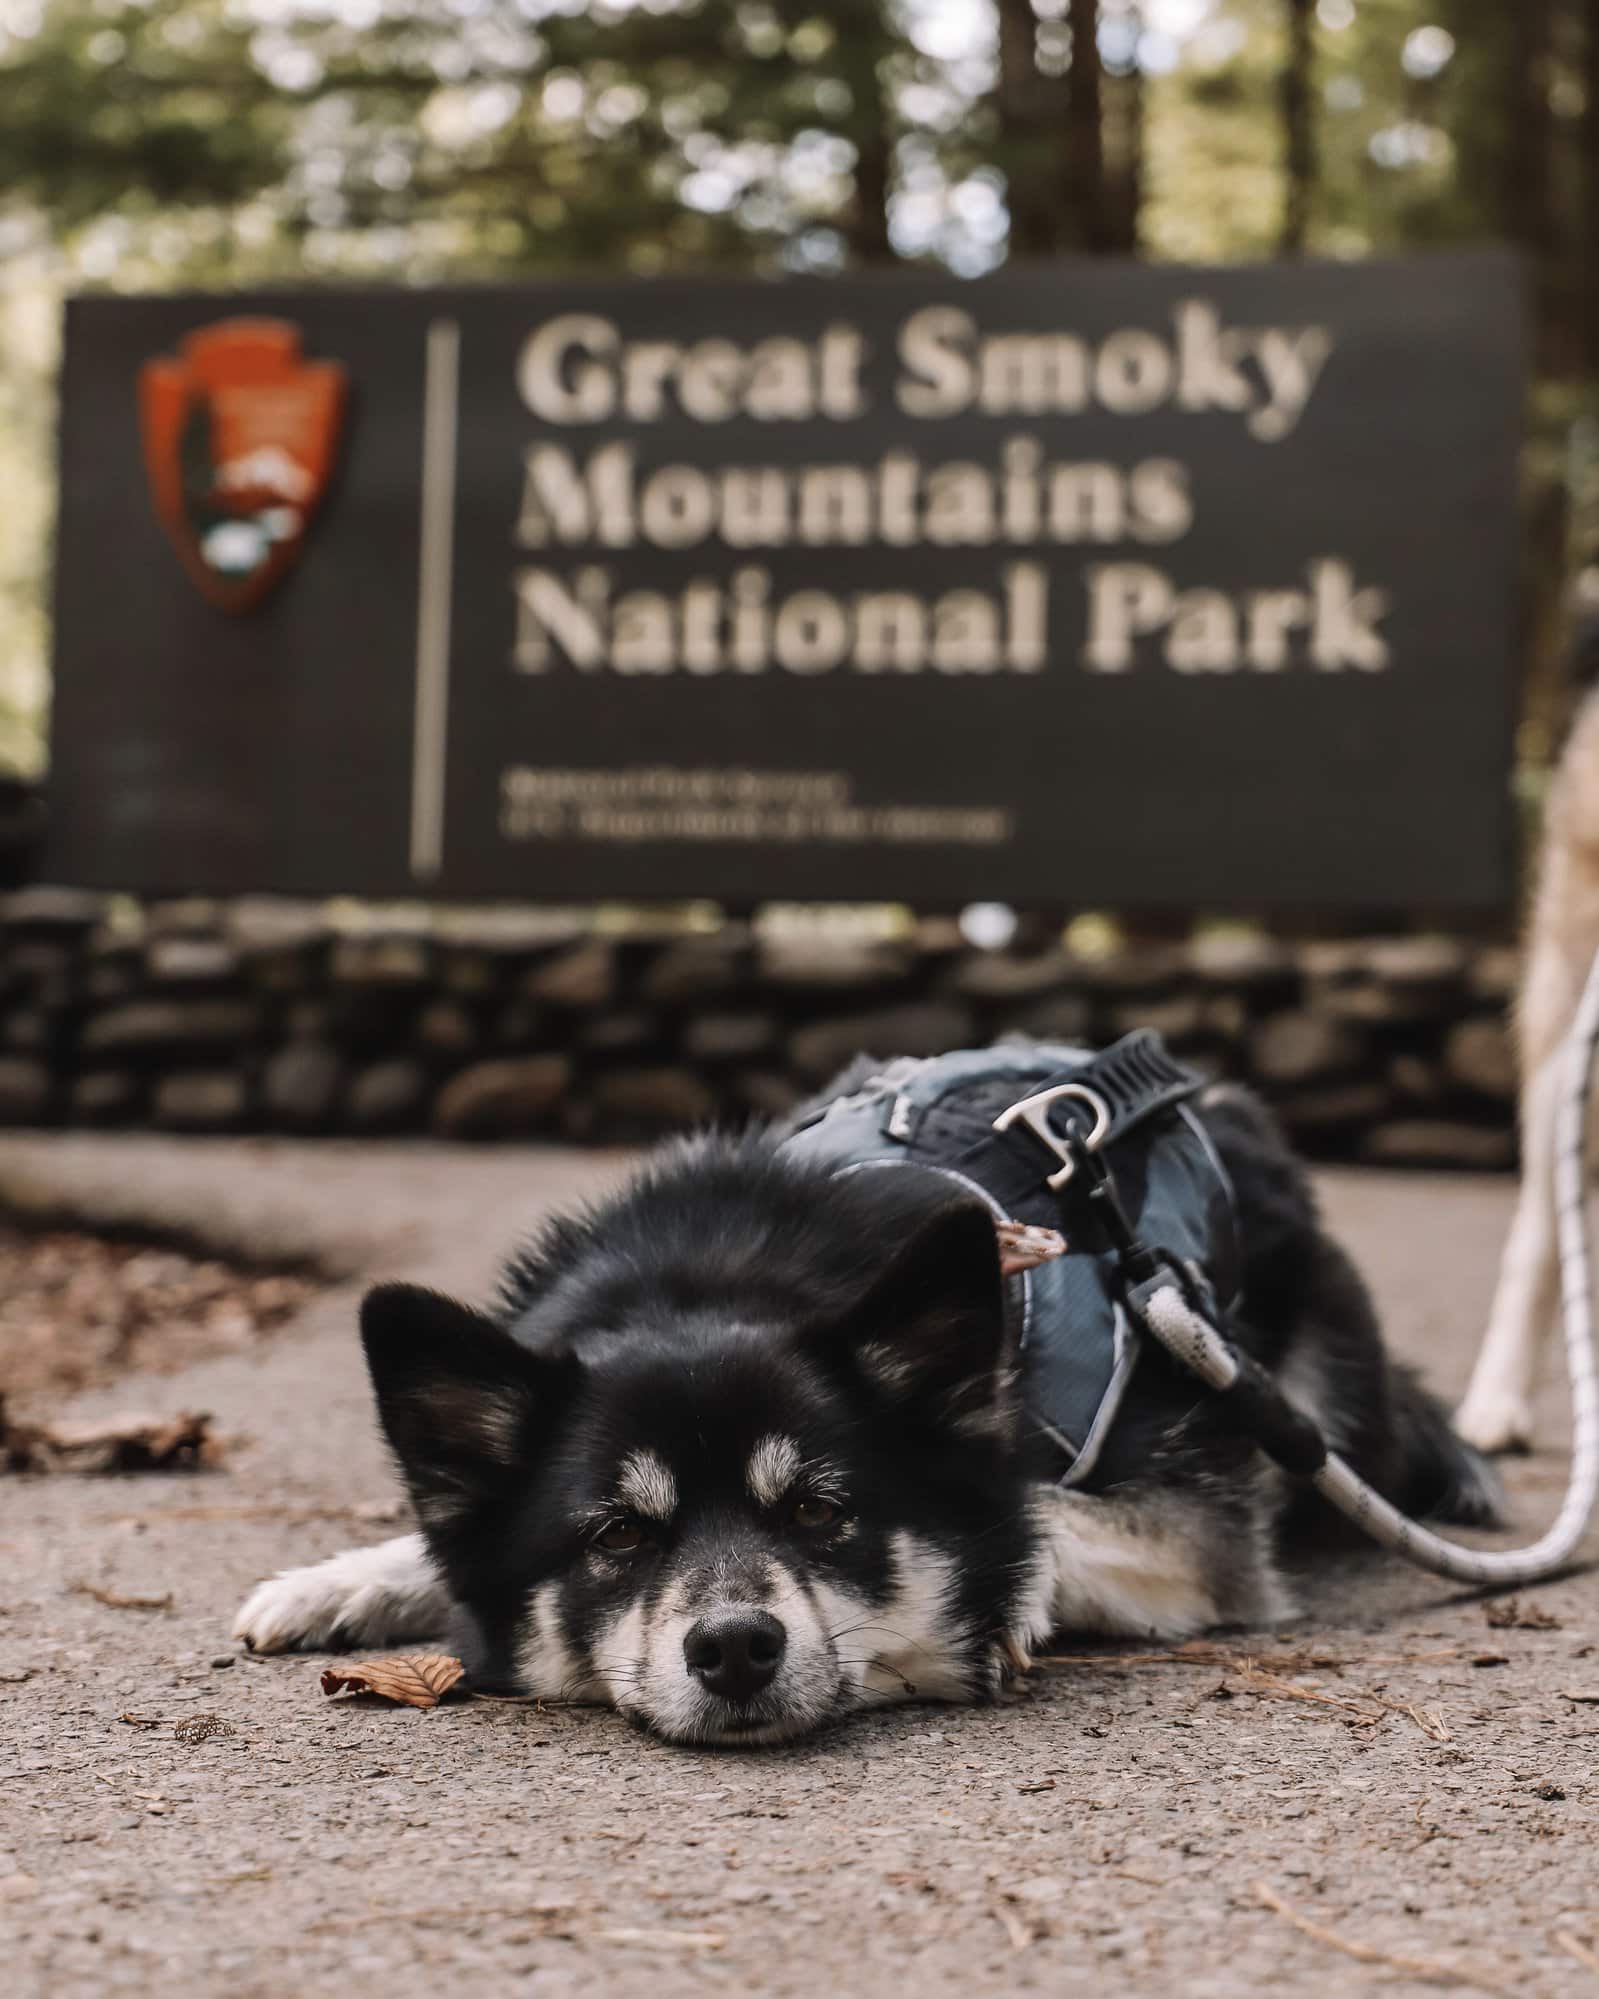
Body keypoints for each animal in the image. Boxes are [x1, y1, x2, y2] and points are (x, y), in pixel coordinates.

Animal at [237, 1071, 1503, 1743]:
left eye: (817, 1511)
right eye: (616, 1534)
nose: (735, 1649)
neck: (711, 1277)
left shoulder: (1195, 1522)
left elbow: (1039, 1513)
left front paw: (1005, 1595)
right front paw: (337, 1583)